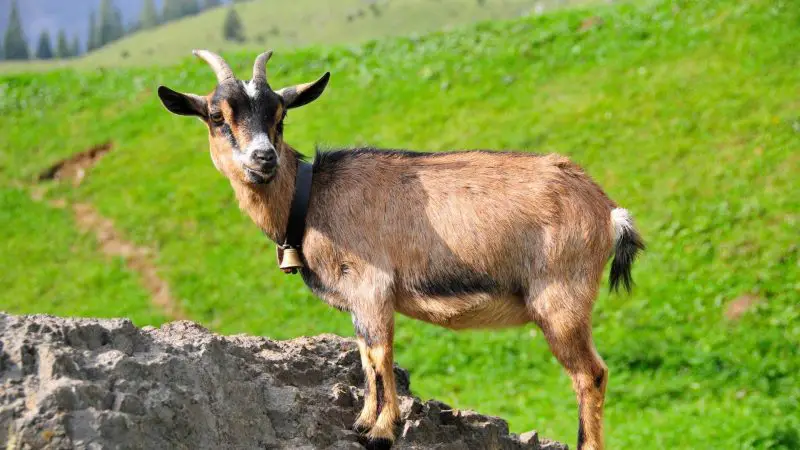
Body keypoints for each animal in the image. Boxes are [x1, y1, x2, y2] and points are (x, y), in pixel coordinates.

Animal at [158, 50, 644, 450]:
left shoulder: (372, 284)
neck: (311, 197)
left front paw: (381, 431)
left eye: (280, 116)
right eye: (216, 117)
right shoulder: (357, 298)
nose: (263, 159)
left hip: (560, 300)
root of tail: (608, 211)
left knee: (590, 374)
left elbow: (379, 354)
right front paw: (362, 421)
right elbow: (362, 354)